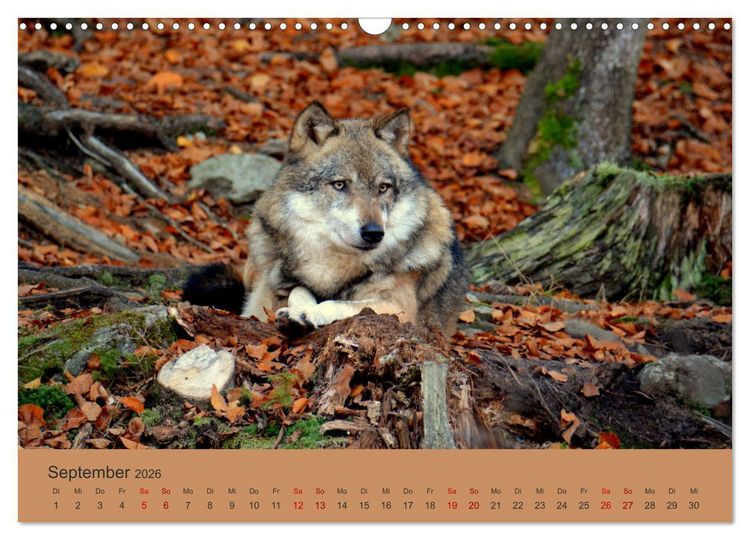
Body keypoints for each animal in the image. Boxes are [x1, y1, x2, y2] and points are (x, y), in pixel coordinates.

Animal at [184, 101, 467, 335]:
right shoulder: (279, 290)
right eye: (340, 184)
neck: (334, 267)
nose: (374, 233)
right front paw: (300, 310)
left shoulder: (400, 307)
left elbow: (340, 304)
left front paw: (310, 313)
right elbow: (299, 289)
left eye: (383, 188)